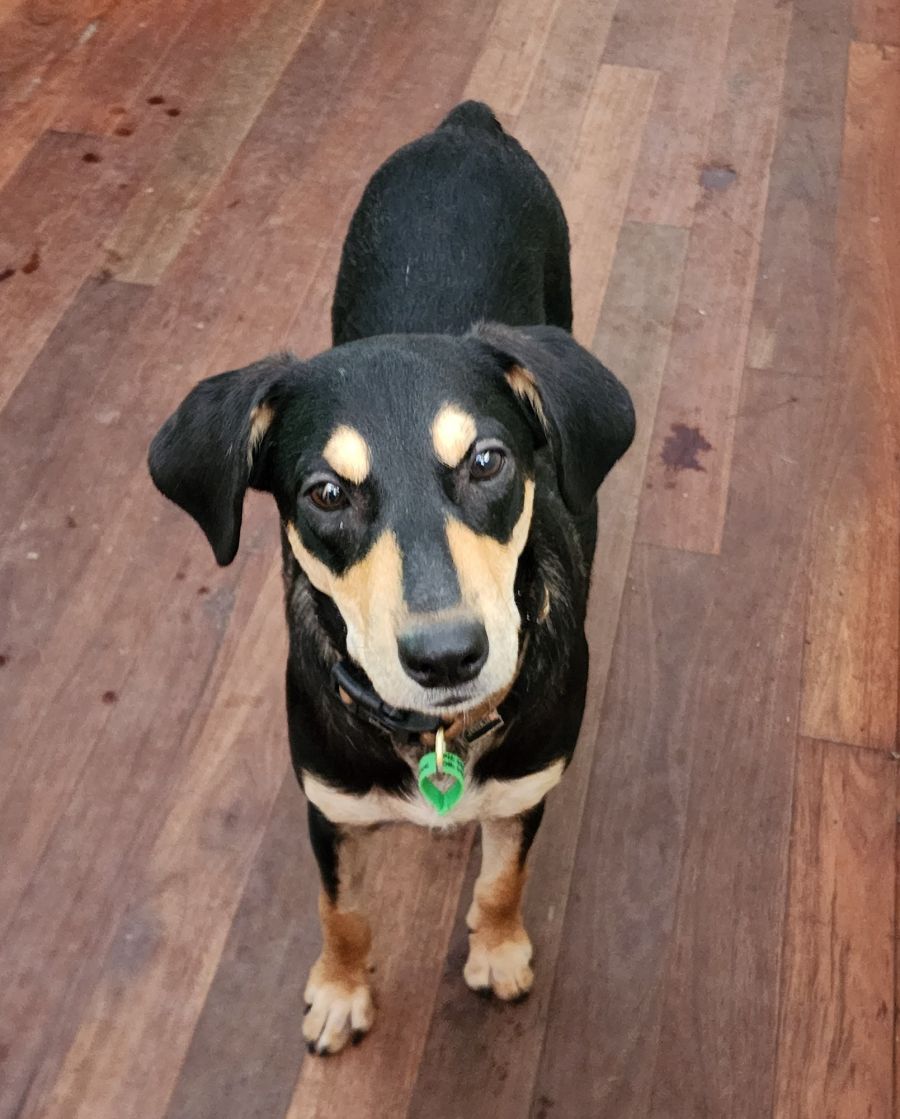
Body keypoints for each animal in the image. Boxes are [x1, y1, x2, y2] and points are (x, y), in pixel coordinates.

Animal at [149, 100, 635, 1055]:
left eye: (488, 461)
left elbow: (502, 879)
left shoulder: (527, 788)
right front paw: (340, 992)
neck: (434, 737)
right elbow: (342, 912)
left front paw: (499, 951)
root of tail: (466, 126)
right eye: (326, 493)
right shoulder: (330, 806)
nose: (446, 656)